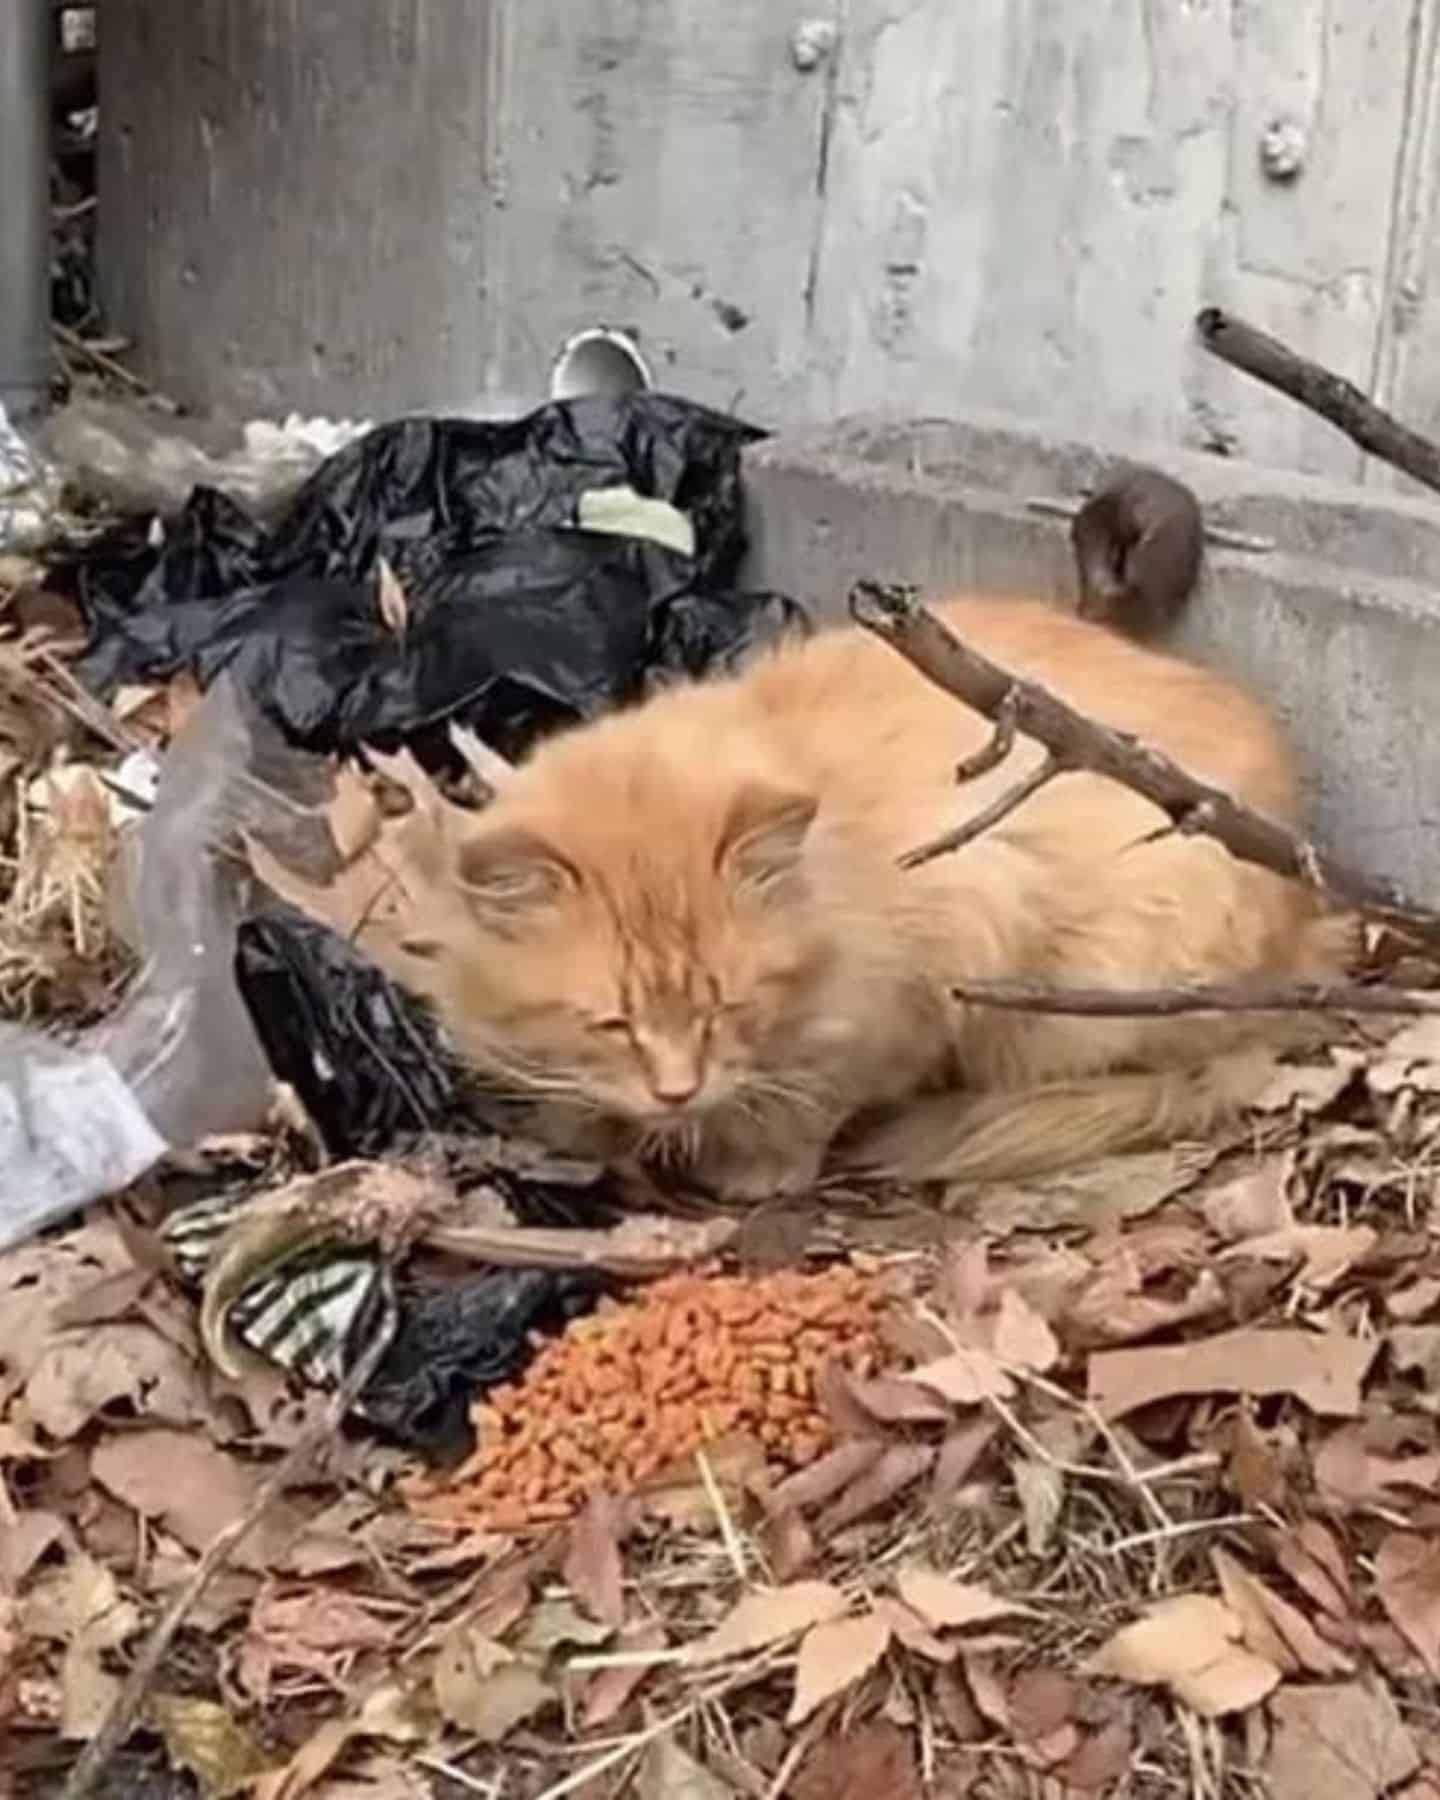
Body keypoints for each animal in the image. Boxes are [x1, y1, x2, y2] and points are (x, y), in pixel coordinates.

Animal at [405, 597, 1353, 1202]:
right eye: (610, 1023)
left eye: (728, 1007)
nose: (676, 1092)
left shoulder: (936, 964)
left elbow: (815, 1096)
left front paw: (755, 1164)